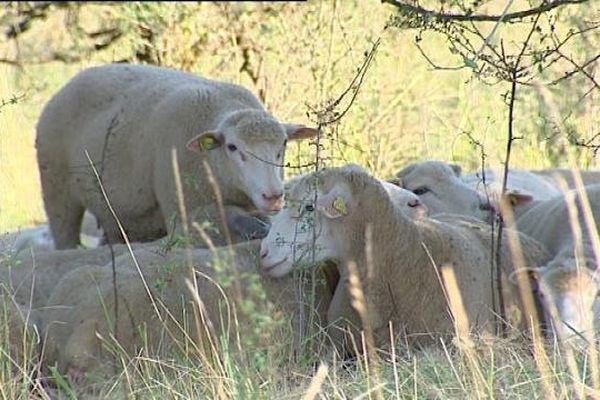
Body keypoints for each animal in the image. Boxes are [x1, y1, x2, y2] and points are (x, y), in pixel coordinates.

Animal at [35, 63, 318, 248]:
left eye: (283, 144)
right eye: (232, 147)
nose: (273, 196)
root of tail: (69, 83)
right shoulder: (184, 214)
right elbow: (237, 219)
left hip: (115, 214)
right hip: (56, 189)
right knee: (64, 235)